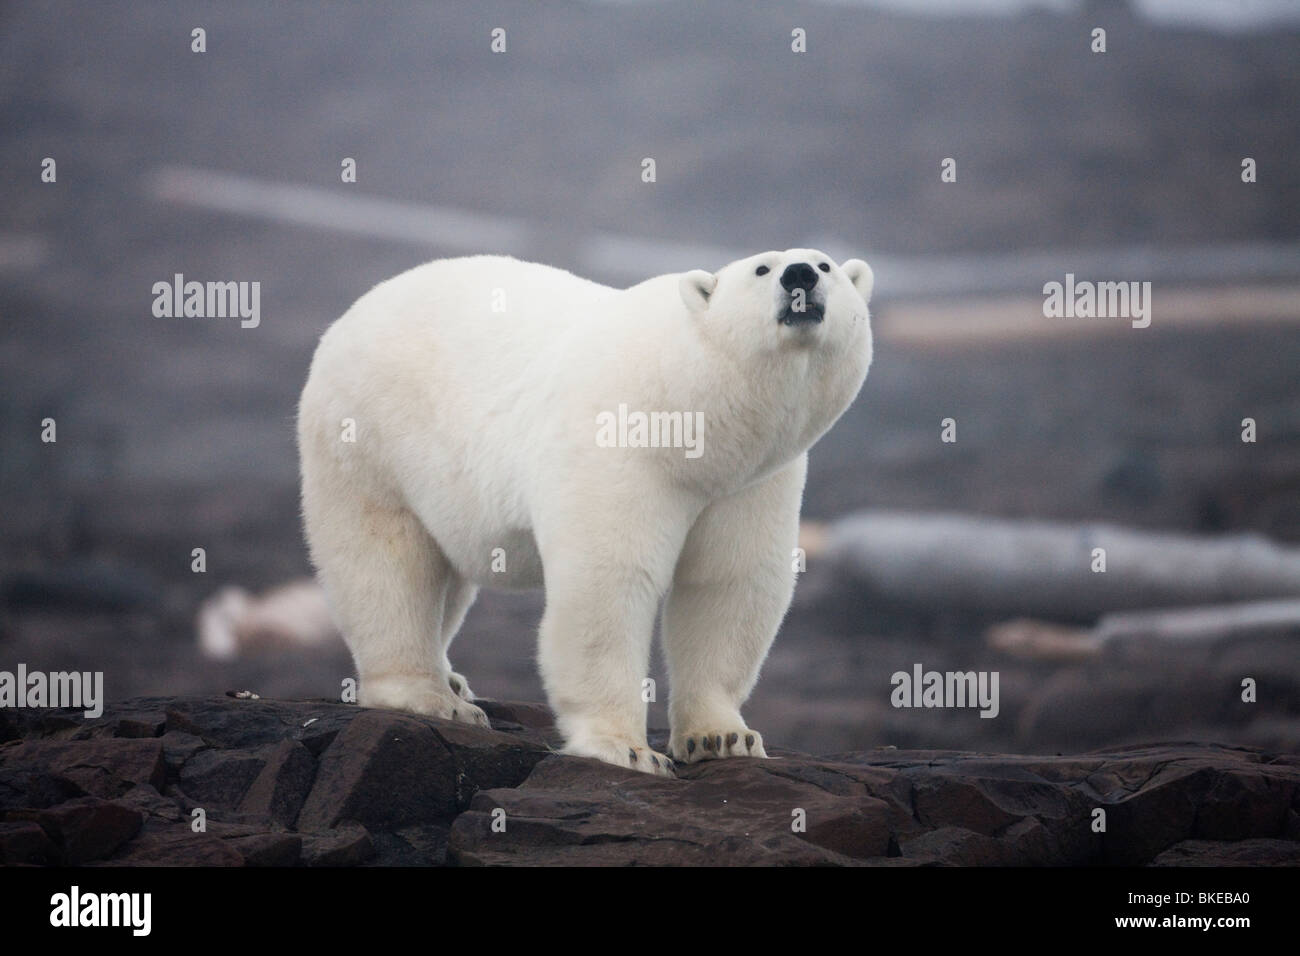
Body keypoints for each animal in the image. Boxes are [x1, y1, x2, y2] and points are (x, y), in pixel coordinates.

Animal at [297, 251, 873, 775]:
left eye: (825, 264)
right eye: (762, 268)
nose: (800, 274)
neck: (684, 403)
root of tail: (354, 312)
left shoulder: (751, 480)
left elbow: (727, 583)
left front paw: (724, 738)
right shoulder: (621, 443)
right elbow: (610, 580)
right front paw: (627, 749)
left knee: (447, 574)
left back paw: (452, 678)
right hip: (372, 435)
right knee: (384, 558)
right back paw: (429, 696)